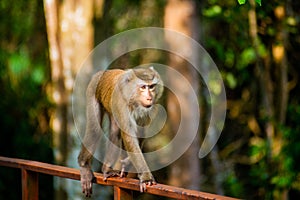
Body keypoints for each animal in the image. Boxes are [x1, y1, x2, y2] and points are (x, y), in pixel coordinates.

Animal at [77, 66, 162, 197]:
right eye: (143, 87)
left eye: (152, 86)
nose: (149, 98)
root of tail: (104, 72)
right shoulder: (121, 103)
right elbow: (129, 137)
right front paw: (146, 177)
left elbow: (140, 133)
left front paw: (127, 163)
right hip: (92, 90)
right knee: (94, 129)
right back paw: (84, 166)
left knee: (115, 131)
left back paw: (107, 169)